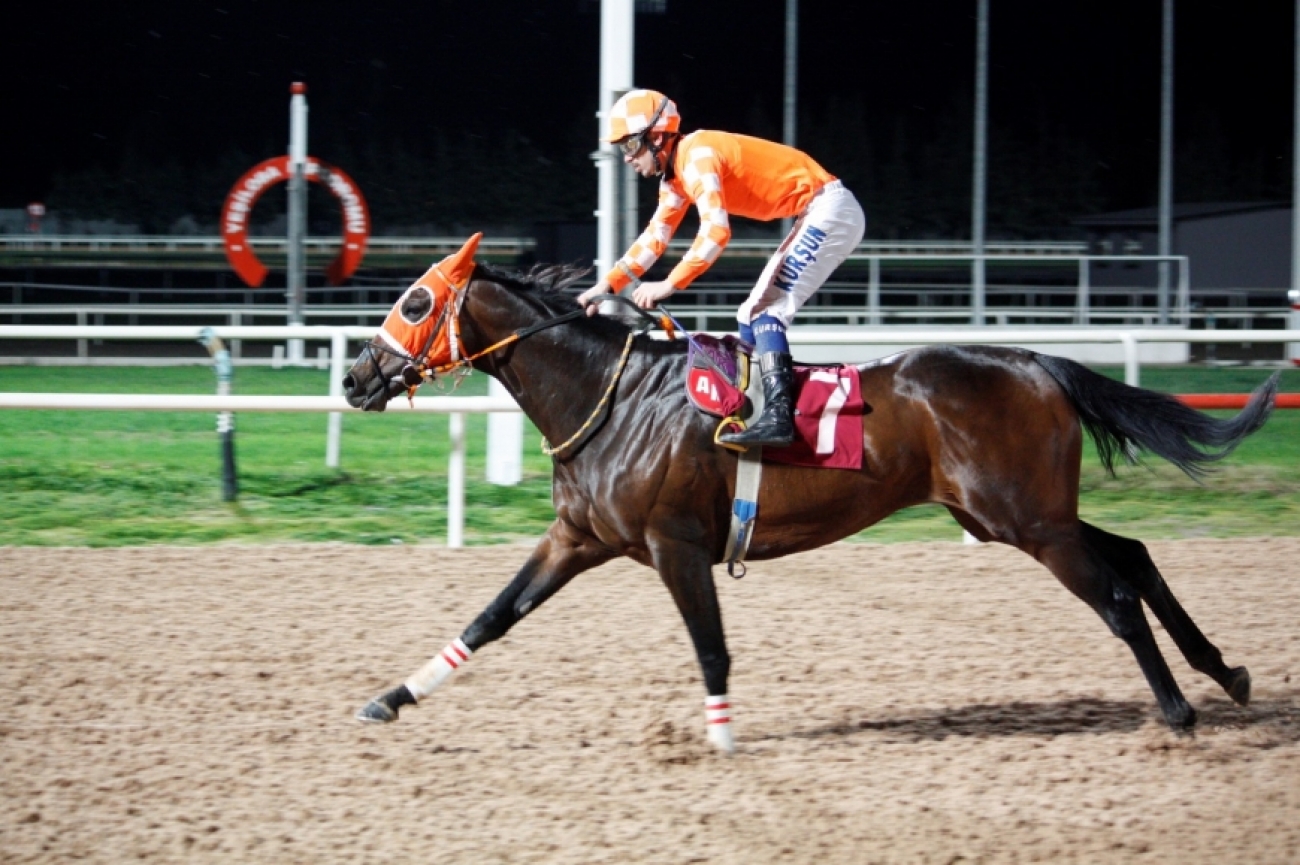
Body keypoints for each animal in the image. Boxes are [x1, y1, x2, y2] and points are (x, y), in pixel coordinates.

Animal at [338, 234, 1279, 749]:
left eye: (414, 300)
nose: (352, 377)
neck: (611, 393)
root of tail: (1033, 359)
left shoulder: (676, 545)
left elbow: (710, 646)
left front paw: (720, 736)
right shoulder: (579, 537)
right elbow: (490, 618)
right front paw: (391, 697)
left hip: (1028, 520)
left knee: (1116, 595)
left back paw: (1178, 712)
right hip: (1018, 511)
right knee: (1136, 554)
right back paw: (1226, 673)